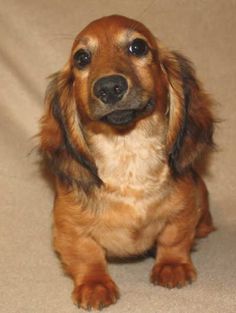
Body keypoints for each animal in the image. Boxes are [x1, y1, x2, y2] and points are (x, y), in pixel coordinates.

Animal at [39, 15, 216, 310]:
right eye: (81, 58)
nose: (109, 87)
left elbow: (174, 238)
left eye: (138, 47)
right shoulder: (69, 228)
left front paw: (172, 266)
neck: (128, 157)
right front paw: (94, 285)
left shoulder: (184, 208)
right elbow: (86, 255)